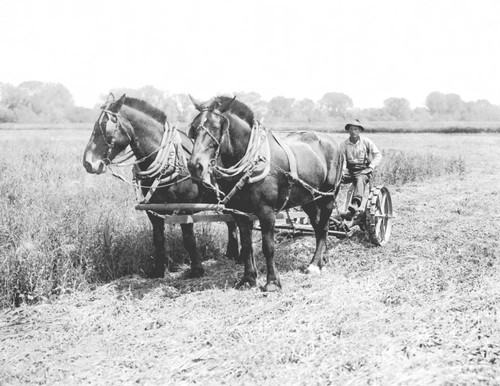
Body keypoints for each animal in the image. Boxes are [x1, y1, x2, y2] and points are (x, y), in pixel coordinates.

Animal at [81, 92, 238, 278]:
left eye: (105, 126)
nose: (88, 163)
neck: (171, 163)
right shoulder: (153, 209)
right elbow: (158, 239)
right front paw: (158, 270)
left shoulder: (185, 208)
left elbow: (188, 239)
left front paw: (196, 270)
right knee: (232, 222)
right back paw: (232, 254)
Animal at [187, 95, 344, 292]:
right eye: (193, 128)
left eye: (216, 127)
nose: (195, 166)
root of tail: (332, 141)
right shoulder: (239, 213)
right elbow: (246, 246)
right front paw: (248, 279)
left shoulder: (266, 212)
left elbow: (268, 247)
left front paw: (272, 283)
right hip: (308, 199)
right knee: (318, 226)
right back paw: (323, 257)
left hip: (328, 196)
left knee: (323, 226)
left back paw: (315, 265)